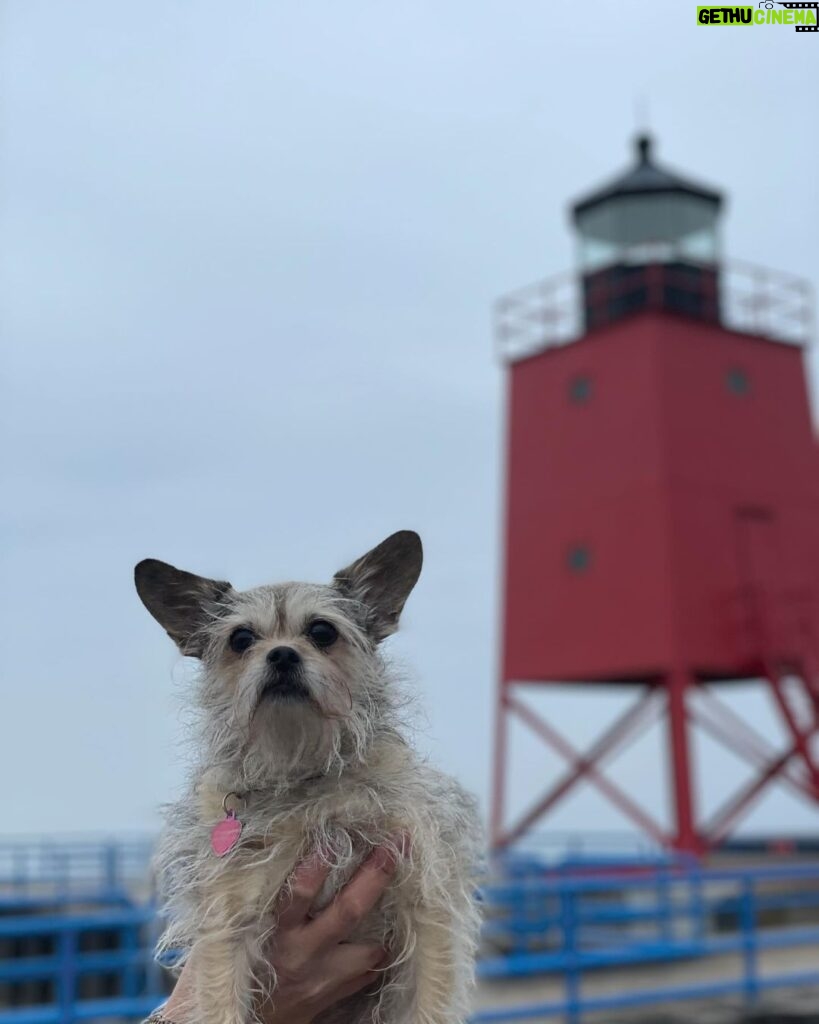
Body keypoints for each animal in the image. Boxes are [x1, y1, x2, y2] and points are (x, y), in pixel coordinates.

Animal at [134, 532, 479, 1019]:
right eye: (241, 638)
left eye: (321, 632)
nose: (281, 654)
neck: (303, 771)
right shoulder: (228, 917)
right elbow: (220, 1000)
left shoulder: (428, 900)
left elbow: (427, 1002)